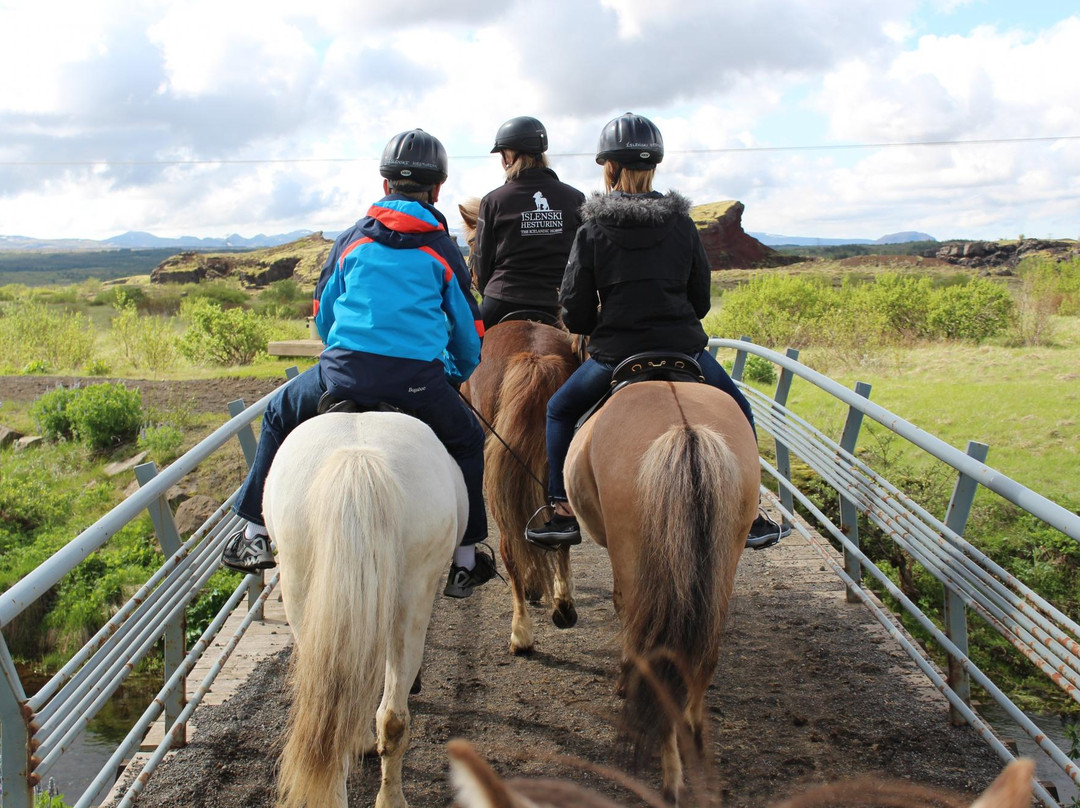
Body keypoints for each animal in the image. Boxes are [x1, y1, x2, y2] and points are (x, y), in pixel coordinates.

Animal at [460, 198, 587, 652]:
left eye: (471, 246)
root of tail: (534, 356)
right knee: (560, 525)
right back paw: (563, 604)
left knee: (510, 544)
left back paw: (522, 633)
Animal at [565, 382, 760, 799]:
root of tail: (686, 431)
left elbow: (623, 610)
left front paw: (624, 680)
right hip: (723, 560)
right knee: (701, 654)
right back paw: (693, 742)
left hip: (633, 551)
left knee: (656, 650)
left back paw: (672, 777)